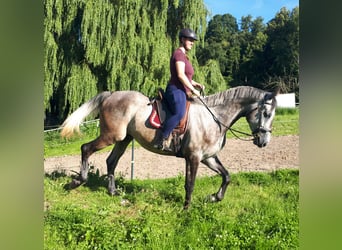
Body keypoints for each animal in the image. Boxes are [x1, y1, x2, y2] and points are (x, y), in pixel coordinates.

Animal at [60, 86, 278, 209]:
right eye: (266, 113)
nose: (264, 141)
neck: (214, 117)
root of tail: (111, 95)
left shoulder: (208, 157)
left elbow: (226, 176)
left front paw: (215, 198)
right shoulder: (194, 157)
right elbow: (190, 184)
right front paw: (186, 209)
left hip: (124, 139)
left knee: (111, 161)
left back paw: (113, 192)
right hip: (111, 136)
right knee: (86, 149)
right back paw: (77, 181)